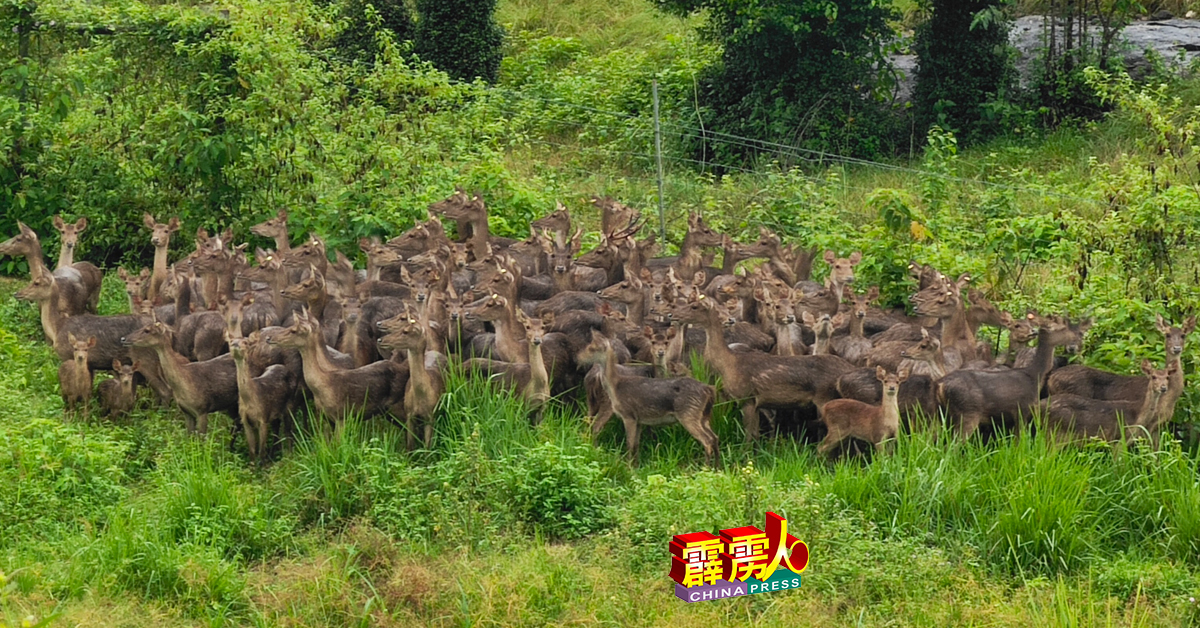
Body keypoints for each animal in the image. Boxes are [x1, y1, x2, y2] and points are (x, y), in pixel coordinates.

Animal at [576, 329, 715, 465]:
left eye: (666, 342)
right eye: (652, 341)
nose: (578, 358)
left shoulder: (634, 415)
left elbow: (633, 443)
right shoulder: (636, 416)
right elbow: (635, 442)